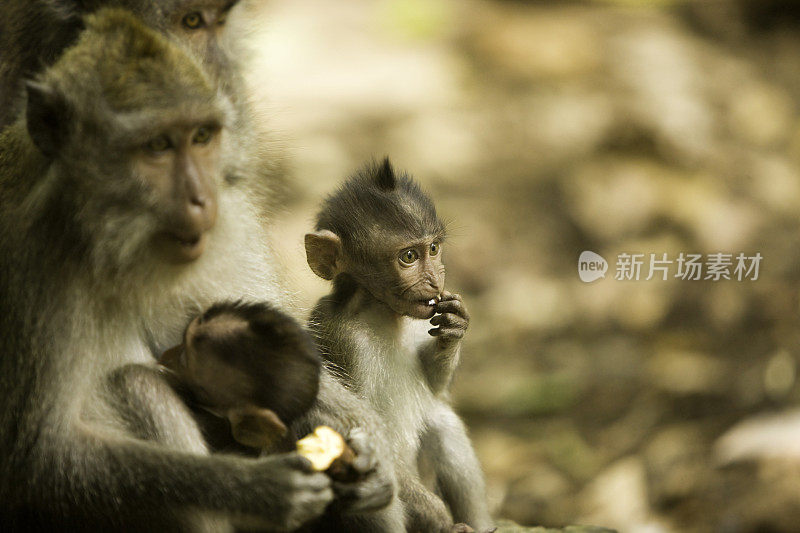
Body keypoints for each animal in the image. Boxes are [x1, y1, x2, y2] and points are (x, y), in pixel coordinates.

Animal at [306, 158, 494, 532]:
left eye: (434, 249)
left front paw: (456, 327)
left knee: (442, 421)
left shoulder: (421, 320)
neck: (383, 314)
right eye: (408, 256)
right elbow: (359, 428)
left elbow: (437, 391)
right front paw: (440, 517)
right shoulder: (344, 341)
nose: (435, 281)